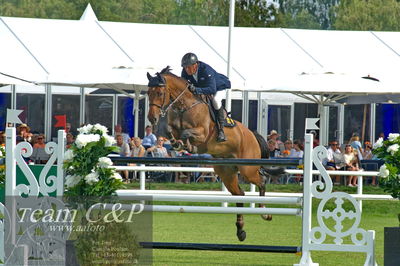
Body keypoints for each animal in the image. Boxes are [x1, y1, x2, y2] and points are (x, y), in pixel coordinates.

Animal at [145, 66, 282, 241]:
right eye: (148, 92)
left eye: (160, 93)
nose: (152, 118)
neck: (184, 106)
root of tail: (252, 134)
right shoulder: (173, 128)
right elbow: (170, 132)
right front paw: (178, 144)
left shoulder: (203, 133)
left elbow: (186, 133)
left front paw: (188, 145)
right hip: (226, 172)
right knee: (239, 194)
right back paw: (240, 231)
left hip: (247, 168)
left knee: (262, 180)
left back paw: (265, 213)